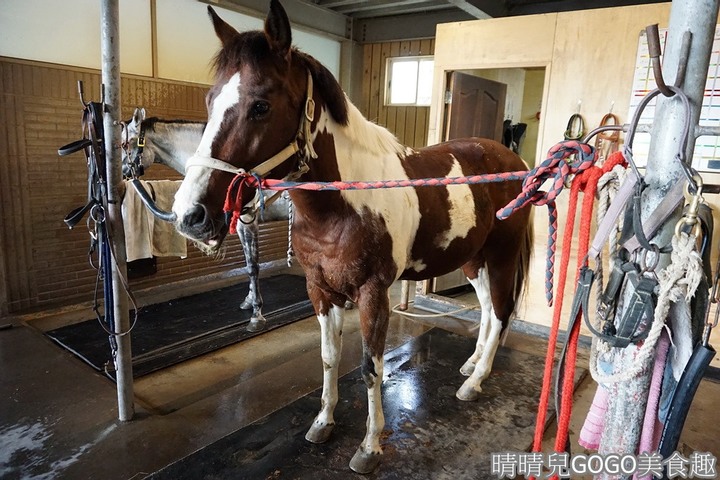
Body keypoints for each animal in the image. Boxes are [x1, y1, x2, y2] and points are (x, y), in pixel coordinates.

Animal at [174, 0, 532, 472]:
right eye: (210, 100)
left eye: (261, 106)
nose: (189, 215)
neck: (342, 206)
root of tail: (516, 161)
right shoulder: (320, 290)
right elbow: (328, 358)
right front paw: (323, 423)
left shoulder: (373, 294)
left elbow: (369, 367)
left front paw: (369, 446)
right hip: (474, 259)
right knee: (489, 310)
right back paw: (471, 366)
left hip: (503, 255)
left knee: (503, 312)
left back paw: (476, 383)